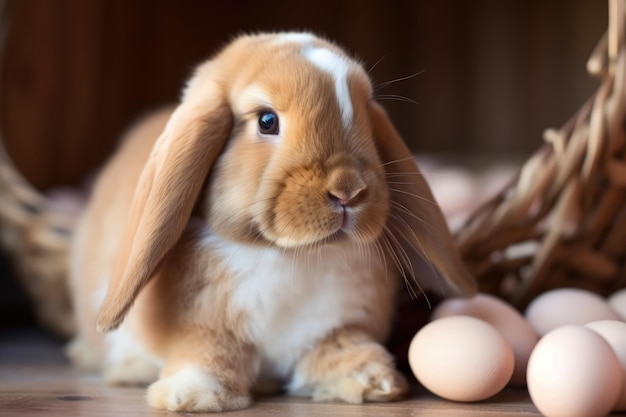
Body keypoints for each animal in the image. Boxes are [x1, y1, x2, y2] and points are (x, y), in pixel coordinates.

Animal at [66, 30, 472, 412]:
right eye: (267, 121)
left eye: (365, 120)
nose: (348, 190)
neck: (288, 255)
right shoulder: (203, 327)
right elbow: (208, 352)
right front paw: (193, 395)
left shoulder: (337, 324)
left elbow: (336, 346)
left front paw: (371, 379)